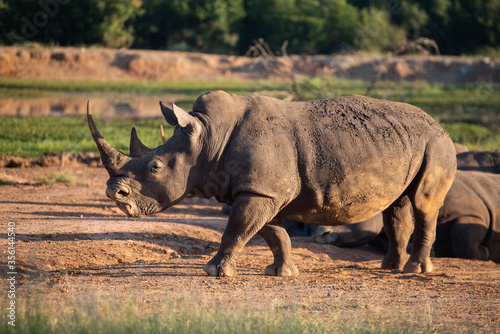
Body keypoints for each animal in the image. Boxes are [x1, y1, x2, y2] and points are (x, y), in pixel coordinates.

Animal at [87, 90, 458, 276]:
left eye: (155, 167)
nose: (114, 193)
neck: (208, 139)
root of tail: (439, 124)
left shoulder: (259, 190)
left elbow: (238, 228)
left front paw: (214, 271)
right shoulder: (264, 189)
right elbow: (271, 232)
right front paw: (282, 273)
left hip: (437, 144)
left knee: (424, 202)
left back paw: (416, 271)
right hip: (403, 141)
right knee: (396, 205)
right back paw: (390, 268)